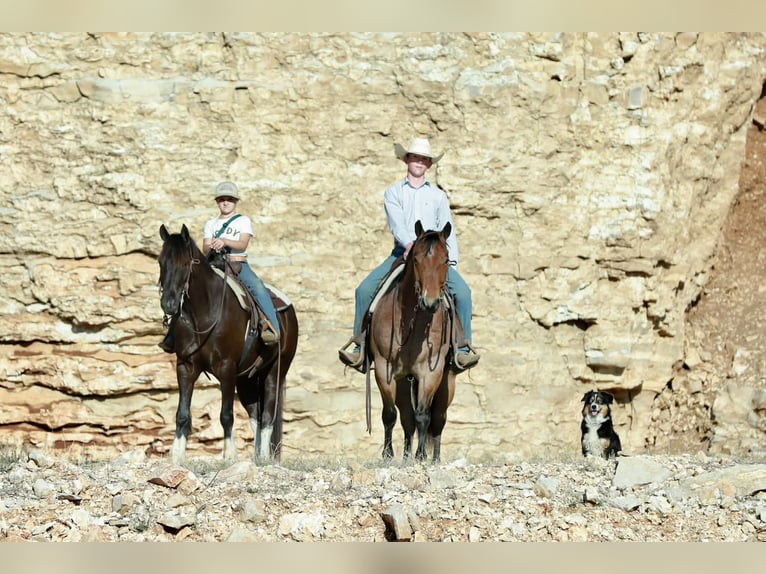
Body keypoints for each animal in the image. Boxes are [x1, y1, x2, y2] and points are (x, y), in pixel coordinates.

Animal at [158, 223, 298, 465]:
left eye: (185, 263)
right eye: (160, 262)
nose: (169, 303)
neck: (204, 313)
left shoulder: (226, 369)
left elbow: (226, 415)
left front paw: (229, 455)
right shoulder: (186, 367)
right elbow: (182, 414)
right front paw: (176, 455)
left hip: (274, 372)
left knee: (267, 415)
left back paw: (263, 457)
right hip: (246, 380)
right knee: (255, 415)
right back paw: (256, 456)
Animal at [368, 220, 456, 462]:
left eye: (445, 260)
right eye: (416, 260)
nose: (430, 302)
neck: (413, 321)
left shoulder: (430, 371)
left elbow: (424, 415)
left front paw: (421, 456)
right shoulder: (384, 368)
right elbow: (390, 414)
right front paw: (388, 455)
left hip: (447, 381)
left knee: (439, 418)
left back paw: (435, 458)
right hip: (403, 382)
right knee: (406, 417)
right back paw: (406, 455)